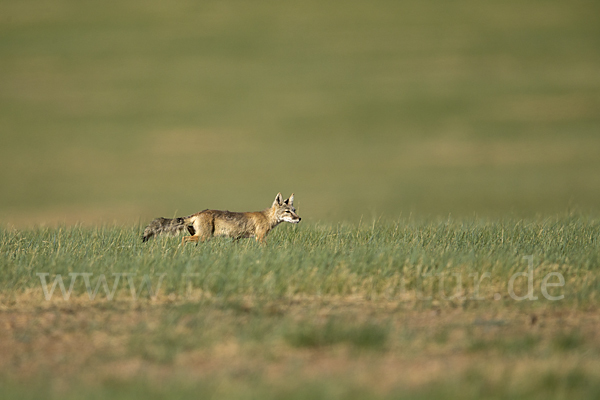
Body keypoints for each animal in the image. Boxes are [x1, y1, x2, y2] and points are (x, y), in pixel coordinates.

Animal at [141, 193, 300, 245]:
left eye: (294, 211)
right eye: (287, 212)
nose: (299, 219)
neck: (267, 217)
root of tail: (199, 212)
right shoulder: (260, 237)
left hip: (201, 237)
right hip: (203, 237)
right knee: (183, 239)